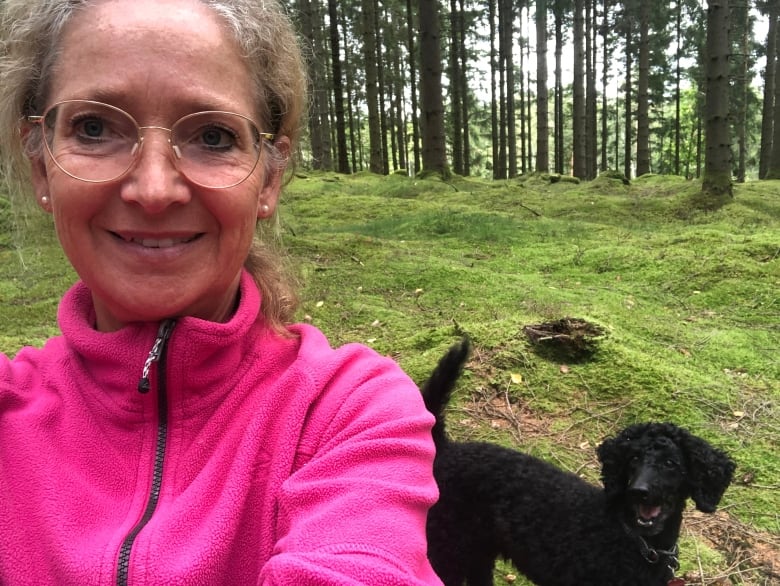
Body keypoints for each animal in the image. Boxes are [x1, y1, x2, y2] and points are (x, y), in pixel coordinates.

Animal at [424, 338, 736, 584]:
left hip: (479, 549)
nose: (640, 491)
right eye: (634, 458)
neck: (634, 540)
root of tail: (446, 448)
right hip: (447, 548)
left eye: (671, 464)